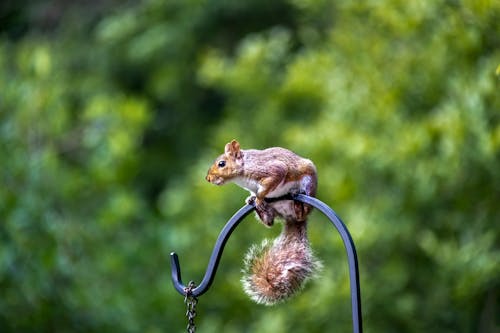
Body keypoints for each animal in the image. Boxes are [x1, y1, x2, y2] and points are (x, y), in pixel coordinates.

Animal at [206, 139, 320, 304]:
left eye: (222, 163)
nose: (208, 178)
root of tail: (290, 217)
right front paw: (252, 198)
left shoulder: (270, 170)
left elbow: (273, 179)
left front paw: (259, 198)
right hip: (273, 209)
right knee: (269, 221)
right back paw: (260, 211)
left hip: (308, 181)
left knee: (302, 211)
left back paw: (298, 203)